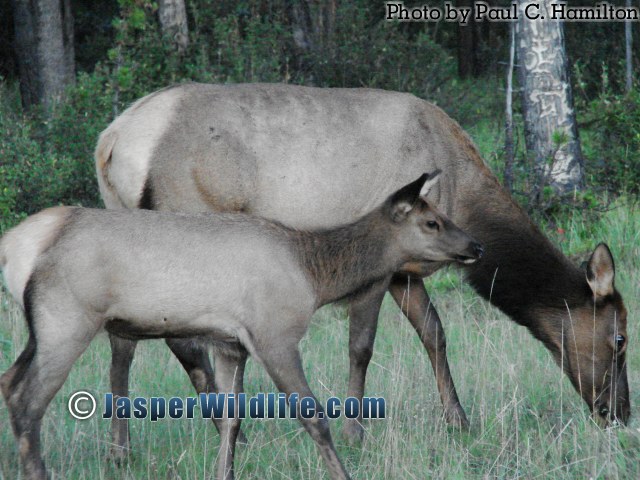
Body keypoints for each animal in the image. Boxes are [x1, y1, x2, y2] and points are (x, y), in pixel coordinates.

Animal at [0, 173, 480, 480]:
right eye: (432, 221)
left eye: (443, 214)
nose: (474, 246)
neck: (314, 276)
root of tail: (16, 244)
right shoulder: (275, 334)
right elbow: (313, 416)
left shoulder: (231, 344)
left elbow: (231, 419)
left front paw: (223, 472)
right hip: (67, 319)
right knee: (28, 401)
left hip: (40, 328)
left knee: (8, 382)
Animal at [97, 82, 632, 450]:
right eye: (621, 339)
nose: (621, 414)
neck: (462, 193)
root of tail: (111, 140)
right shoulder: (379, 265)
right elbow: (362, 345)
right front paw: (355, 428)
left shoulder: (406, 272)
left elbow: (435, 334)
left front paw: (458, 420)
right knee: (178, 339)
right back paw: (227, 433)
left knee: (124, 337)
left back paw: (127, 446)